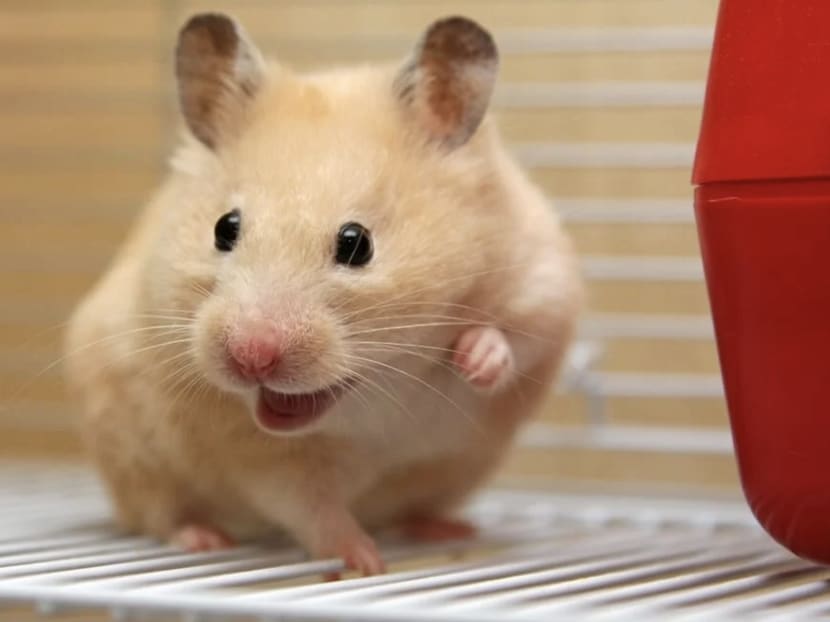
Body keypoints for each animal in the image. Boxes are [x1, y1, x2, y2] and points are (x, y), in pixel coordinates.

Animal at [64, 13, 582, 575]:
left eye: (357, 243)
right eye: (225, 228)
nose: (250, 357)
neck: (378, 391)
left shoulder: (544, 284)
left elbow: (517, 337)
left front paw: (475, 360)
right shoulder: (269, 458)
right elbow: (313, 510)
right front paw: (366, 562)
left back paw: (448, 528)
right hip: (133, 459)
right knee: (157, 516)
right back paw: (204, 538)